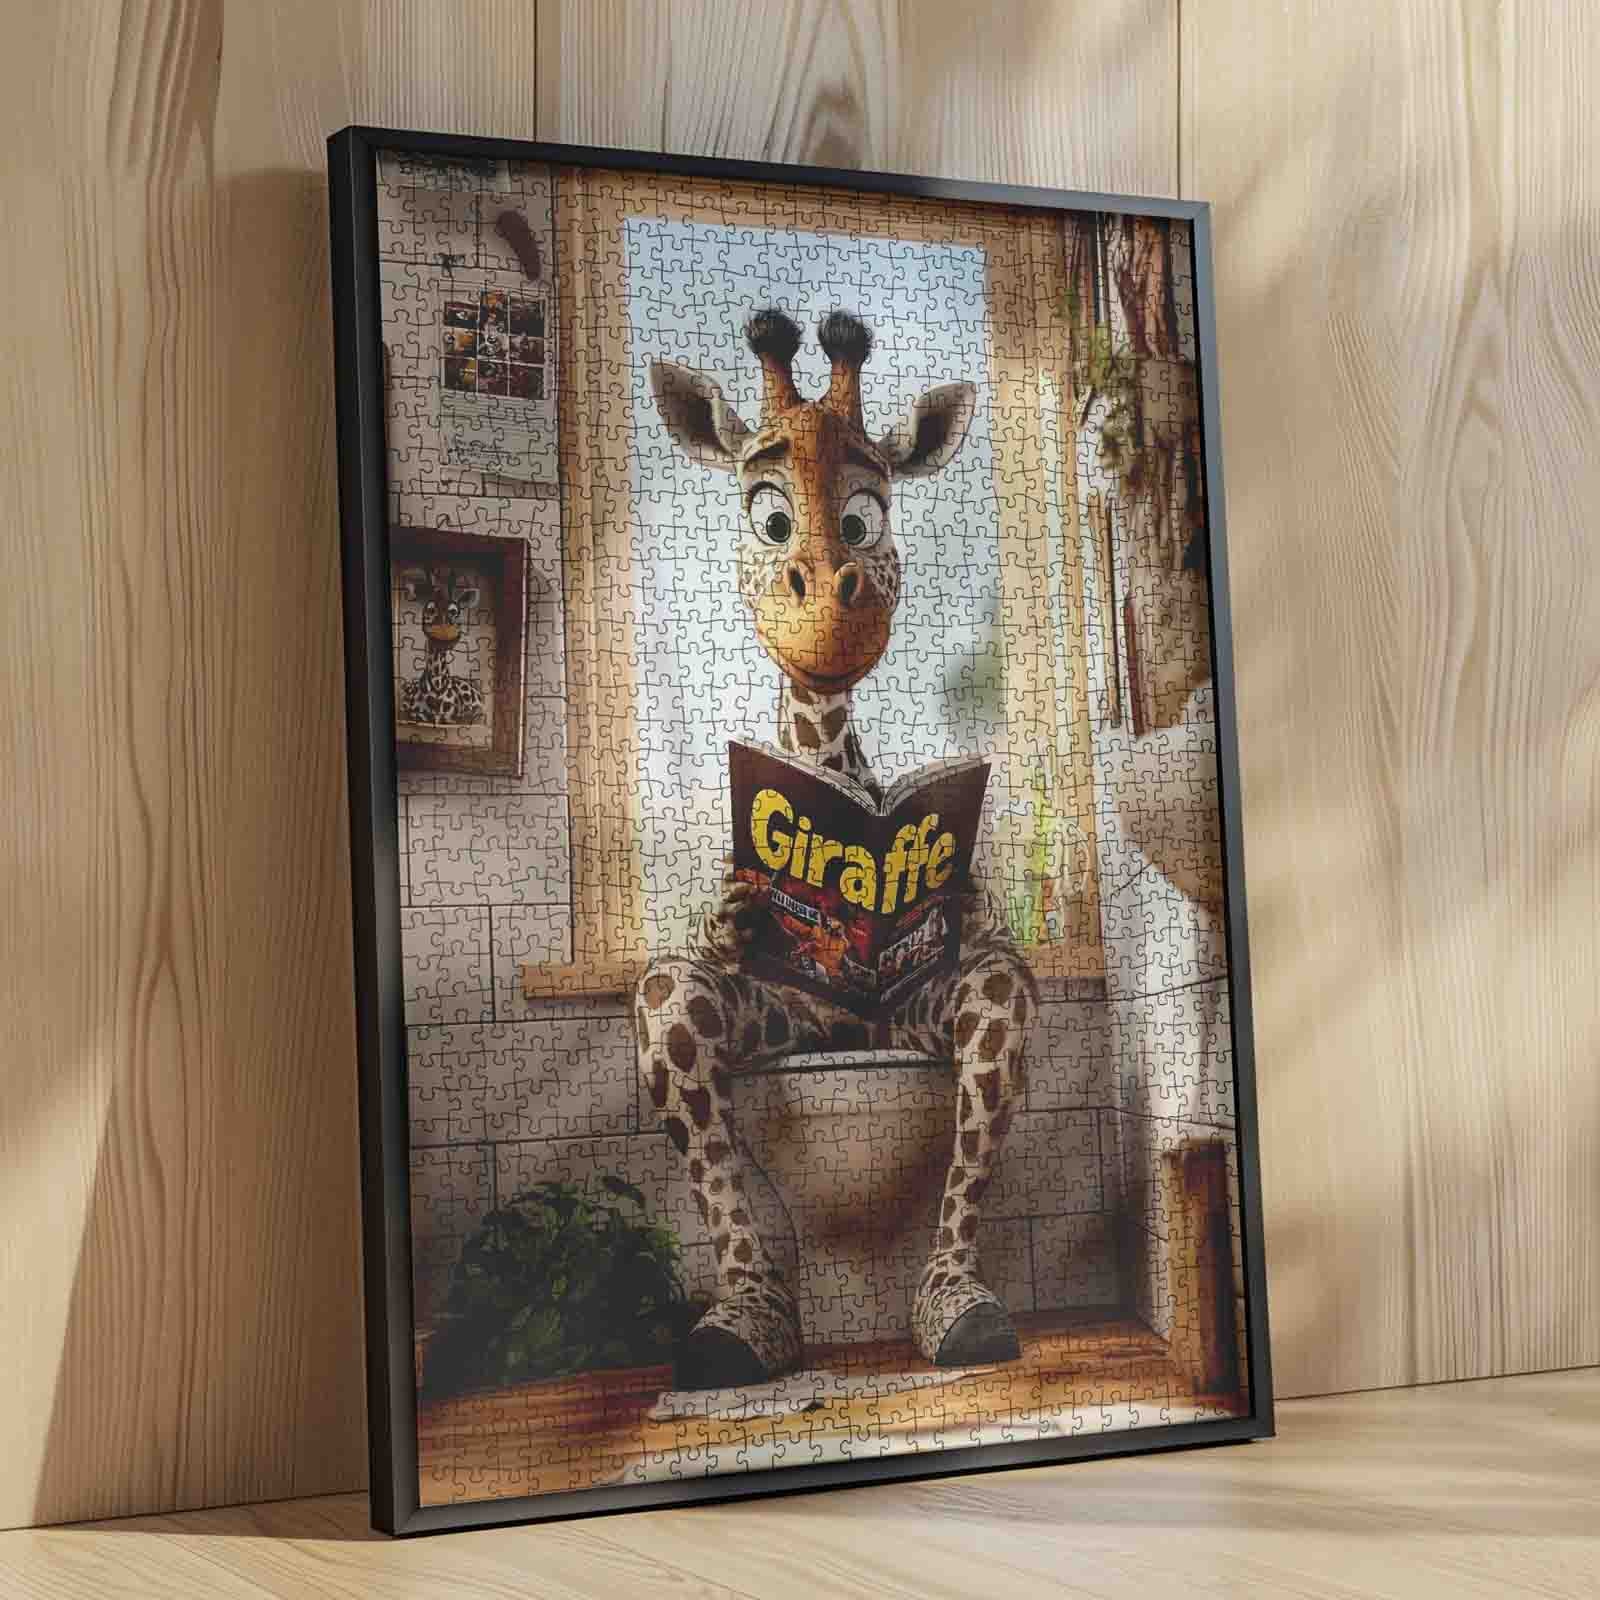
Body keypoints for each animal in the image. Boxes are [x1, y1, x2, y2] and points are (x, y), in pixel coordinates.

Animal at [398, 567, 486, 728]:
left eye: (454, 611)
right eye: (430, 609)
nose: (446, 635)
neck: (437, 688)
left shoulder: (452, 716)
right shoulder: (412, 713)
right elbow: (417, 714)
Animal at [636, 308, 1038, 1389]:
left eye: (866, 517)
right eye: (768, 517)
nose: (831, 608)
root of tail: (847, 1026)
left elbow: (983, 921)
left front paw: (961, 898)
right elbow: (708, 926)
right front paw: (733, 912)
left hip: (912, 1026)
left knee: (993, 1014)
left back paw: (957, 1306)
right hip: (778, 1032)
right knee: (671, 999)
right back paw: (743, 1322)